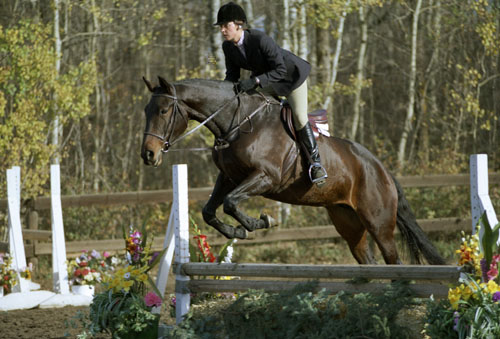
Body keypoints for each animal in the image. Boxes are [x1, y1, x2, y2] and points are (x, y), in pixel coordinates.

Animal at [141, 76, 446, 266]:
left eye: (165, 110)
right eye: (147, 110)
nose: (148, 154)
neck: (238, 124)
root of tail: (382, 170)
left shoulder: (266, 177)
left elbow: (229, 203)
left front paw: (261, 222)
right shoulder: (229, 177)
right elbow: (210, 210)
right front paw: (238, 231)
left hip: (379, 223)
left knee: (393, 260)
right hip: (348, 221)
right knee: (368, 259)